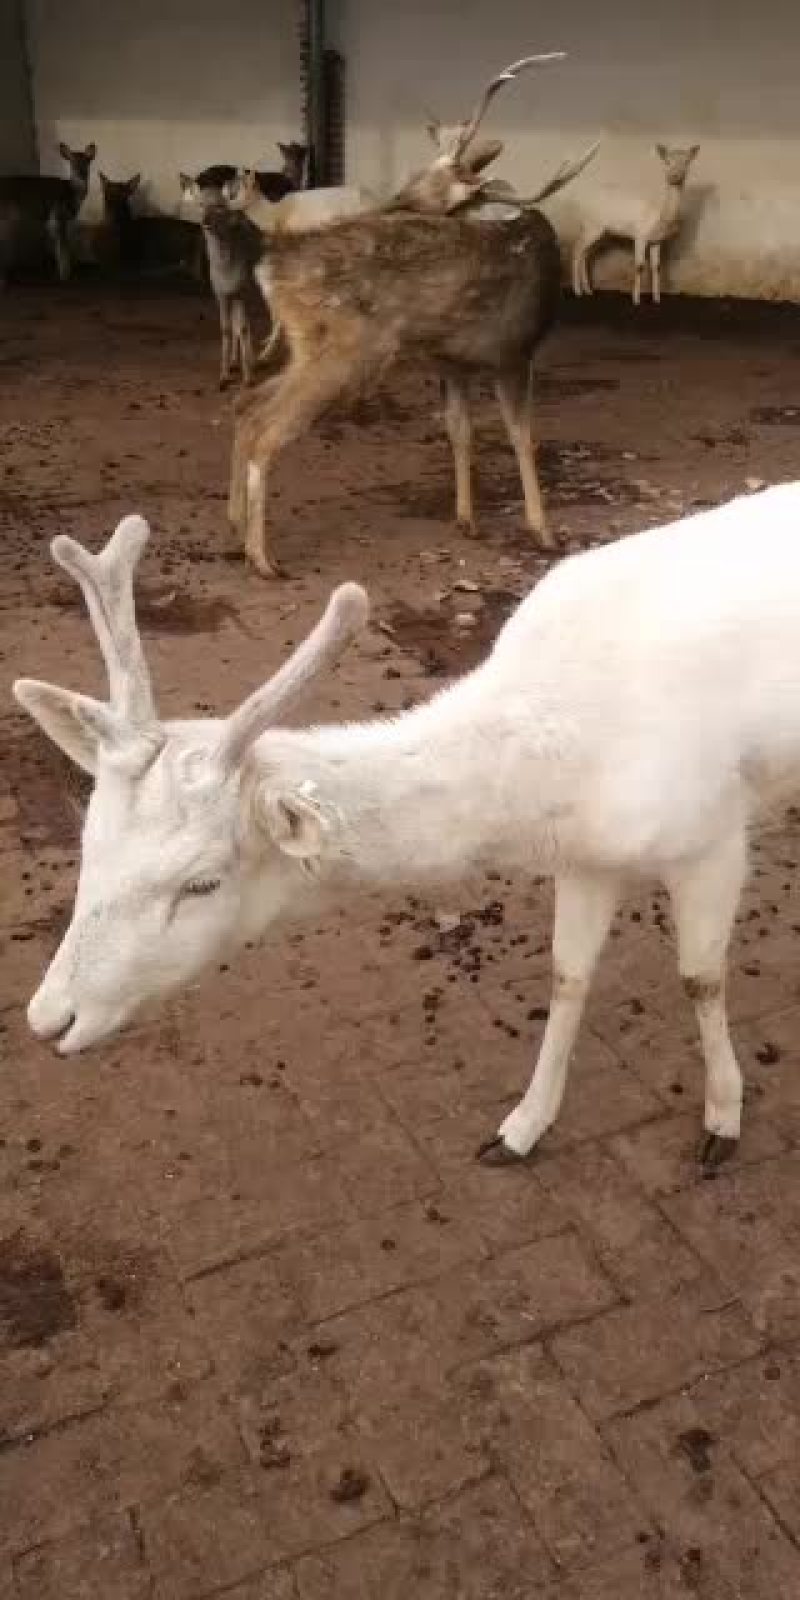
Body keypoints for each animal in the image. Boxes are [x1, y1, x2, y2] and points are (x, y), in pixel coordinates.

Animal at [0, 142, 96, 285]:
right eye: (72, 163)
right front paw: (65, 276)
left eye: (87, 161)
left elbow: (58, 247)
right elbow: (63, 248)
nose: (81, 174)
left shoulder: (52, 221)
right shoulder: (58, 215)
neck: (72, 195)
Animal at [14, 482, 800, 1176]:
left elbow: (700, 978)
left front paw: (722, 1122)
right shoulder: (585, 858)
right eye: (89, 846)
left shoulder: (712, 833)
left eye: (202, 881)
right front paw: (518, 1130)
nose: (50, 1017)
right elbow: (568, 977)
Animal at [572, 143, 700, 305]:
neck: (659, 218)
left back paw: (588, 290)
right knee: (577, 249)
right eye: (667, 161)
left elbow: (656, 266)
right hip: (592, 225)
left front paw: (657, 299)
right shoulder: (640, 236)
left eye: (686, 162)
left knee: (585, 253)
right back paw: (577, 291)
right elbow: (639, 266)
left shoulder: (656, 241)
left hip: (598, 231)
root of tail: (580, 204)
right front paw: (636, 299)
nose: (674, 176)